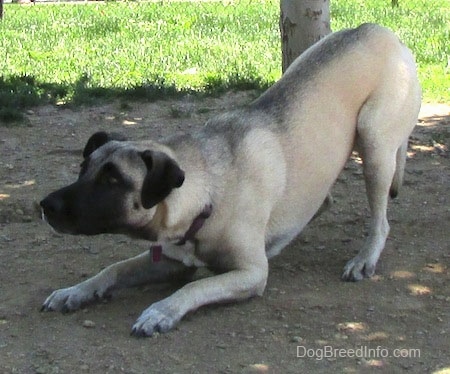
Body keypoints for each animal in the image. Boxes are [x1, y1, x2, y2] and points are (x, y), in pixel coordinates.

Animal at [39, 24, 422, 338]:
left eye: (113, 179)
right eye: (83, 169)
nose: (45, 204)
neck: (207, 190)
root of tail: (383, 31)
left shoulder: (250, 274)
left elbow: (193, 288)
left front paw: (161, 312)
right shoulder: (170, 260)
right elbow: (114, 269)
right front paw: (76, 291)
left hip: (374, 141)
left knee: (380, 220)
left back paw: (364, 258)